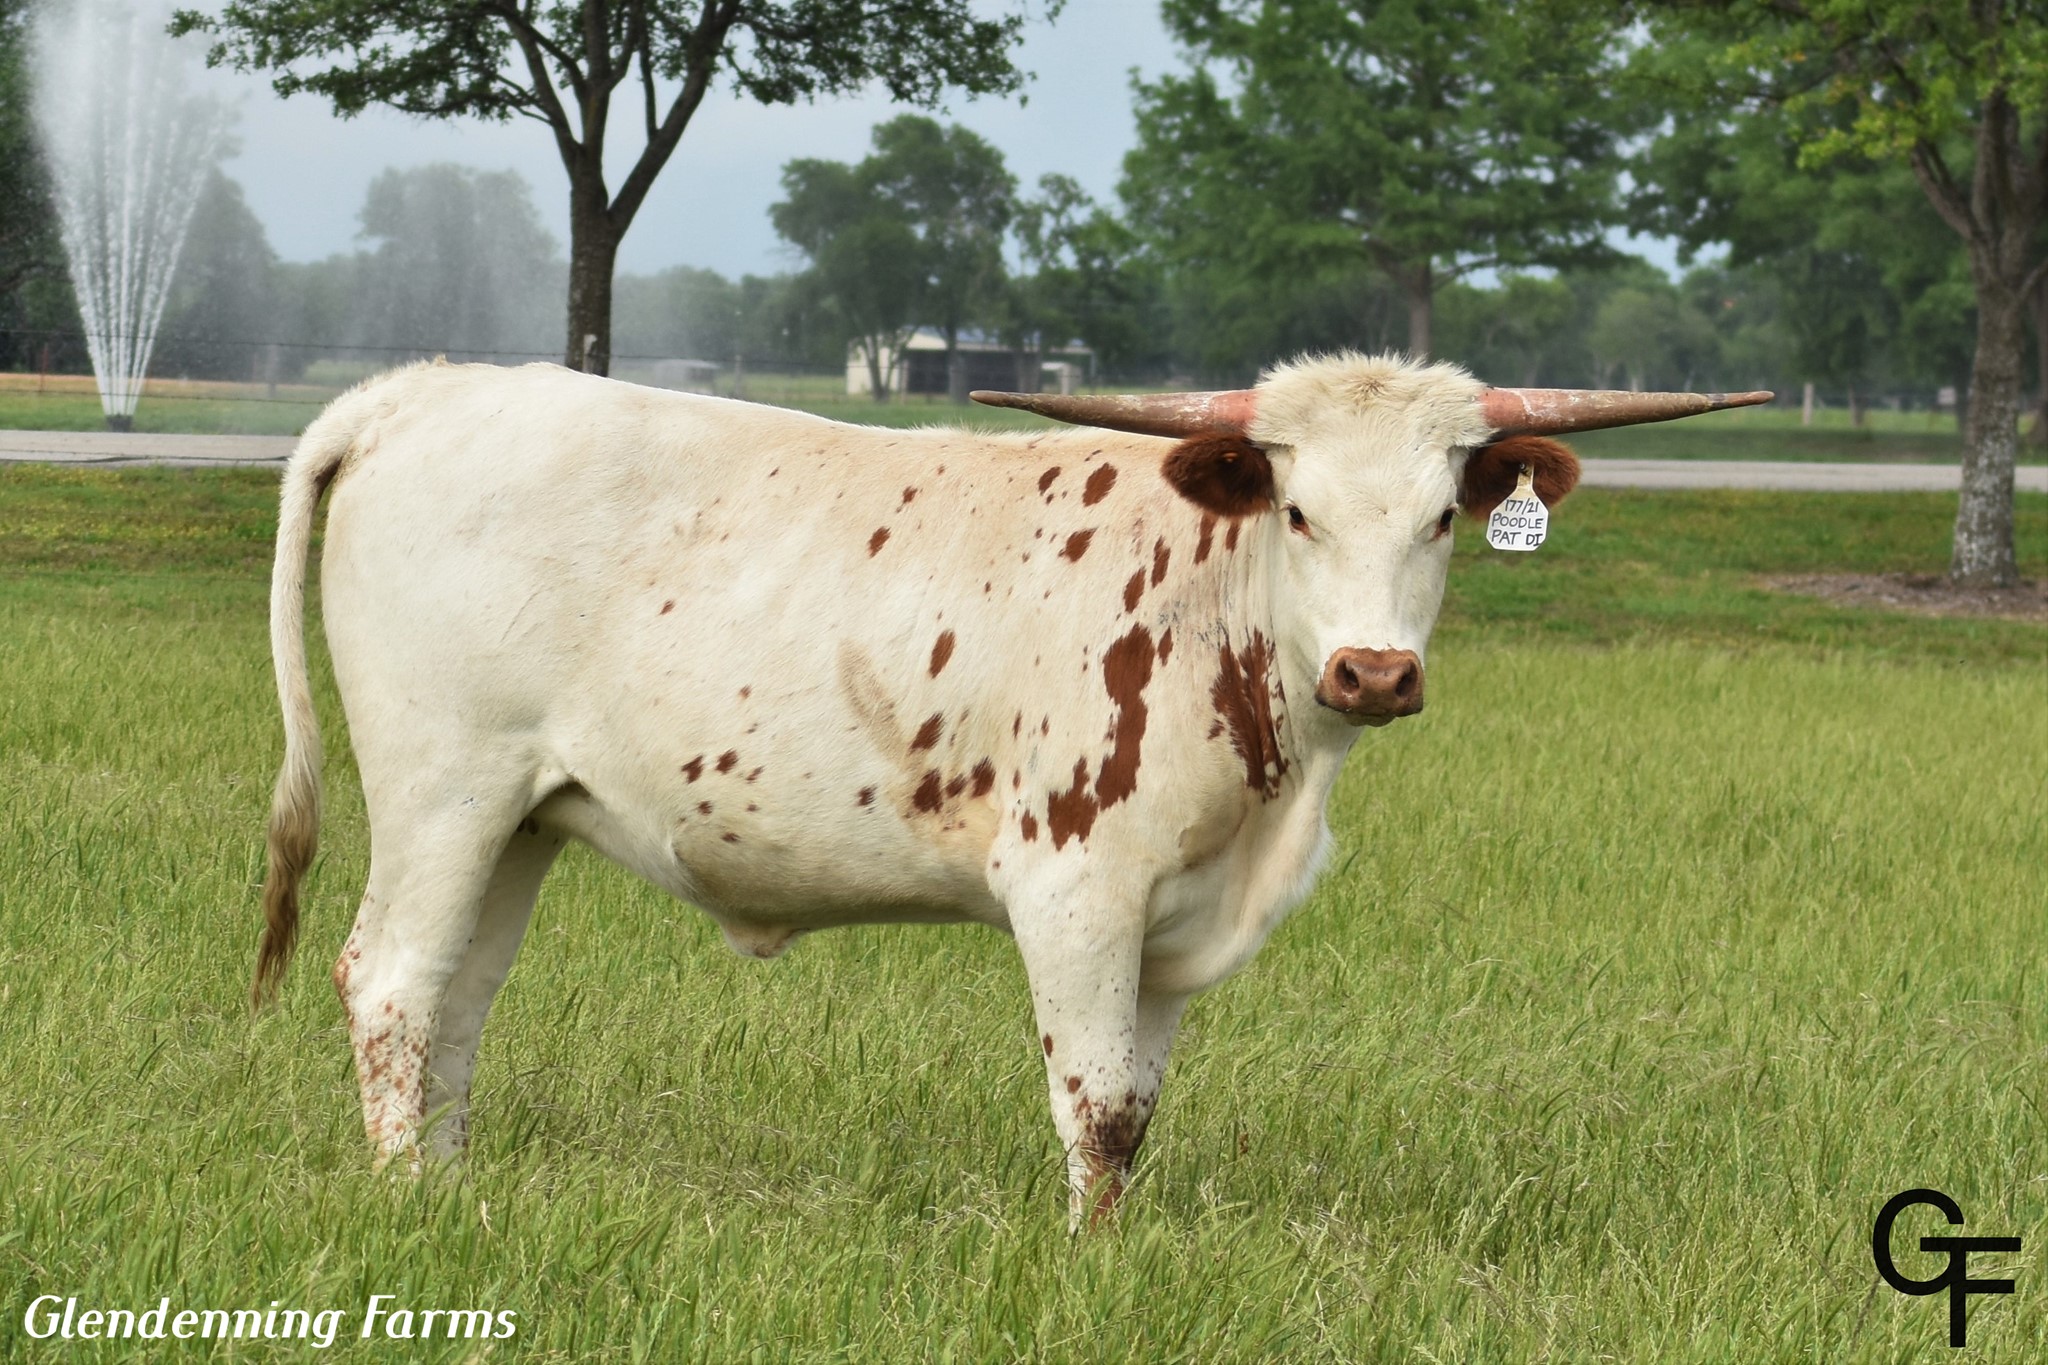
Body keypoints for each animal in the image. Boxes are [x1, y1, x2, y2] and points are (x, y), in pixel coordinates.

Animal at [255, 352, 1765, 1220]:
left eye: (1445, 514)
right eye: (1297, 509)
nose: (1374, 672)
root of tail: (421, 390)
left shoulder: (1172, 922)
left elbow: (1137, 1112)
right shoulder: (1079, 889)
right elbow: (1091, 1102)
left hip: (523, 815)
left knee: (460, 1000)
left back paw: (450, 1193)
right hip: (445, 787)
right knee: (393, 981)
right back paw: (406, 1203)